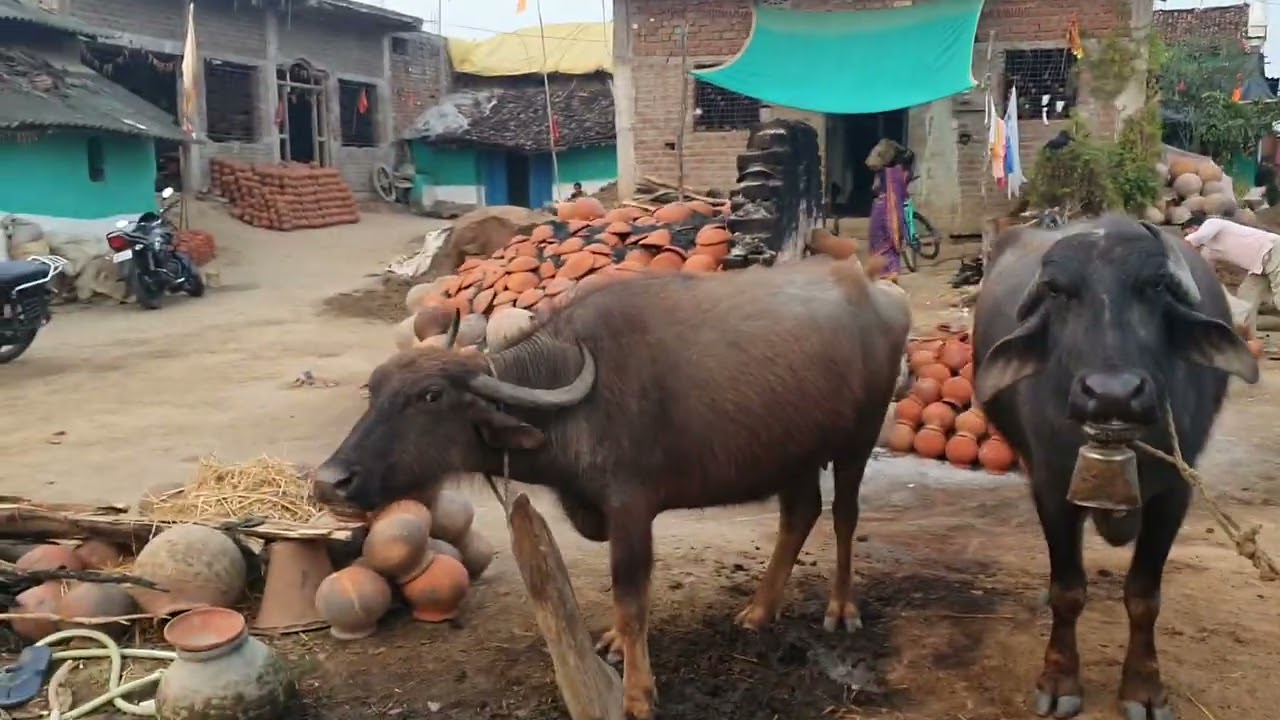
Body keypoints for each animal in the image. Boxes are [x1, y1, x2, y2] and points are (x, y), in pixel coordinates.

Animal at [316, 251, 916, 712]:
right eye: (373, 389)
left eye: (431, 396)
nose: (330, 481)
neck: (573, 398)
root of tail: (875, 288)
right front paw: (614, 644)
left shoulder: (632, 509)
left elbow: (631, 593)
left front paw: (637, 693)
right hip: (793, 453)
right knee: (800, 513)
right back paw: (759, 611)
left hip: (858, 441)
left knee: (843, 516)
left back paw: (841, 609)